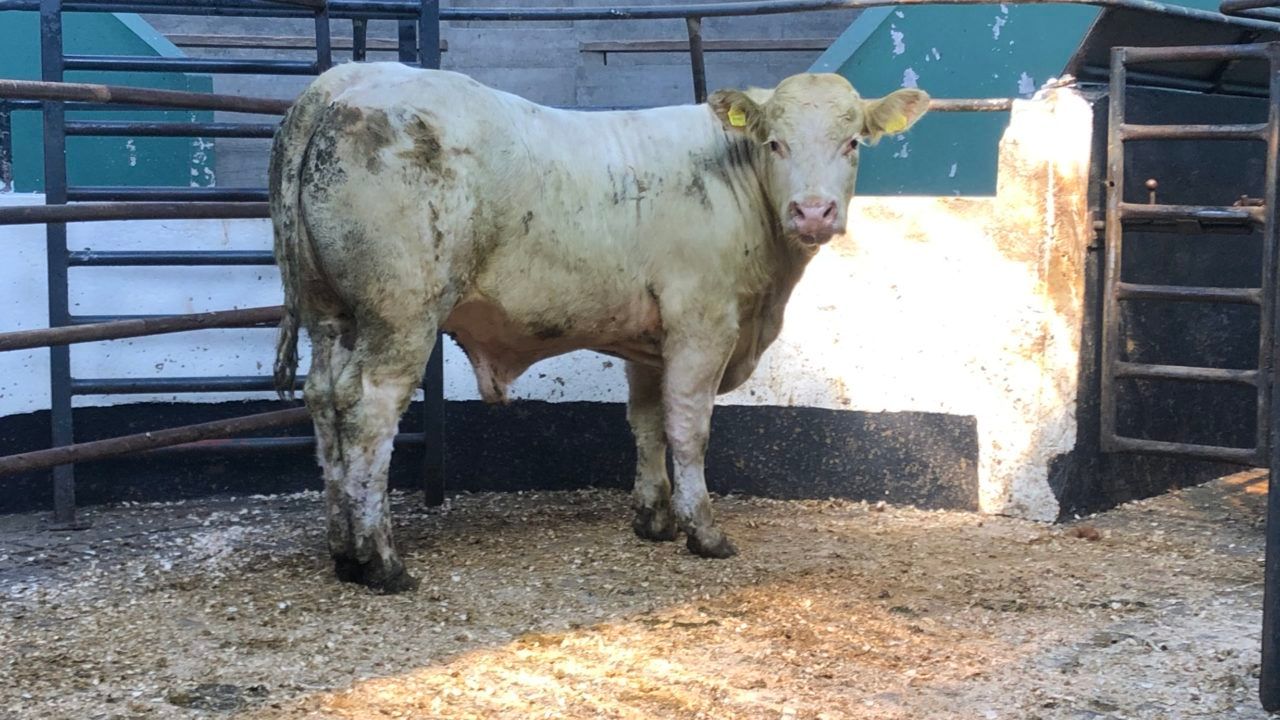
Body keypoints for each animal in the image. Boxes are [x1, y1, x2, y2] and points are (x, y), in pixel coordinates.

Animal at [269, 62, 929, 593]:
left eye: (852, 142)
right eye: (775, 143)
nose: (813, 212)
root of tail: (348, 80)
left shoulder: (649, 342)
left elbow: (648, 424)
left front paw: (654, 518)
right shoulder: (703, 323)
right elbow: (689, 429)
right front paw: (703, 531)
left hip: (329, 314)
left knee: (324, 399)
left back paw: (341, 551)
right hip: (401, 314)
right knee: (369, 413)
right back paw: (378, 560)